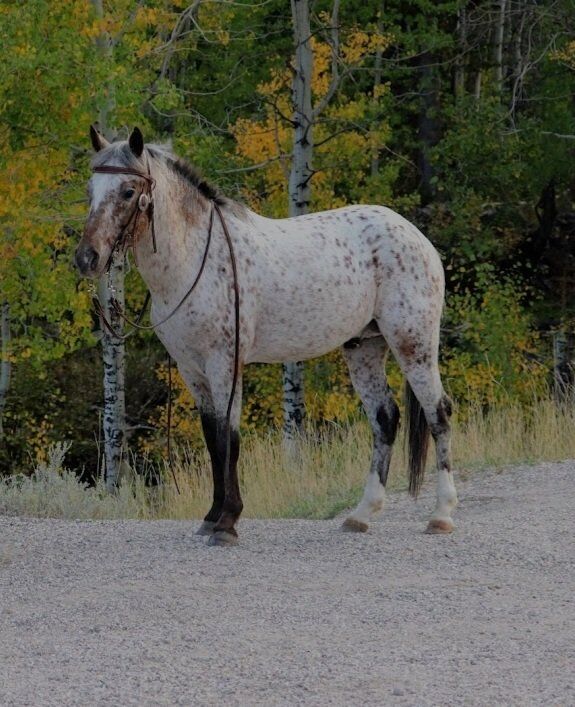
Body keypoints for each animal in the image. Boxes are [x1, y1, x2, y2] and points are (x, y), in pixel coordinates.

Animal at [75, 125, 458, 546]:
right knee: (385, 418)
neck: (196, 258)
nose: (87, 258)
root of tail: (415, 236)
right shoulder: (193, 369)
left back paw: (441, 514)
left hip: (413, 344)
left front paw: (227, 523)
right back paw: (361, 514)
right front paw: (211, 517)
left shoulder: (225, 364)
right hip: (365, 348)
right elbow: (213, 439)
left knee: (439, 413)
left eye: (128, 191)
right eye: (90, 189)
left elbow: (230, 439)